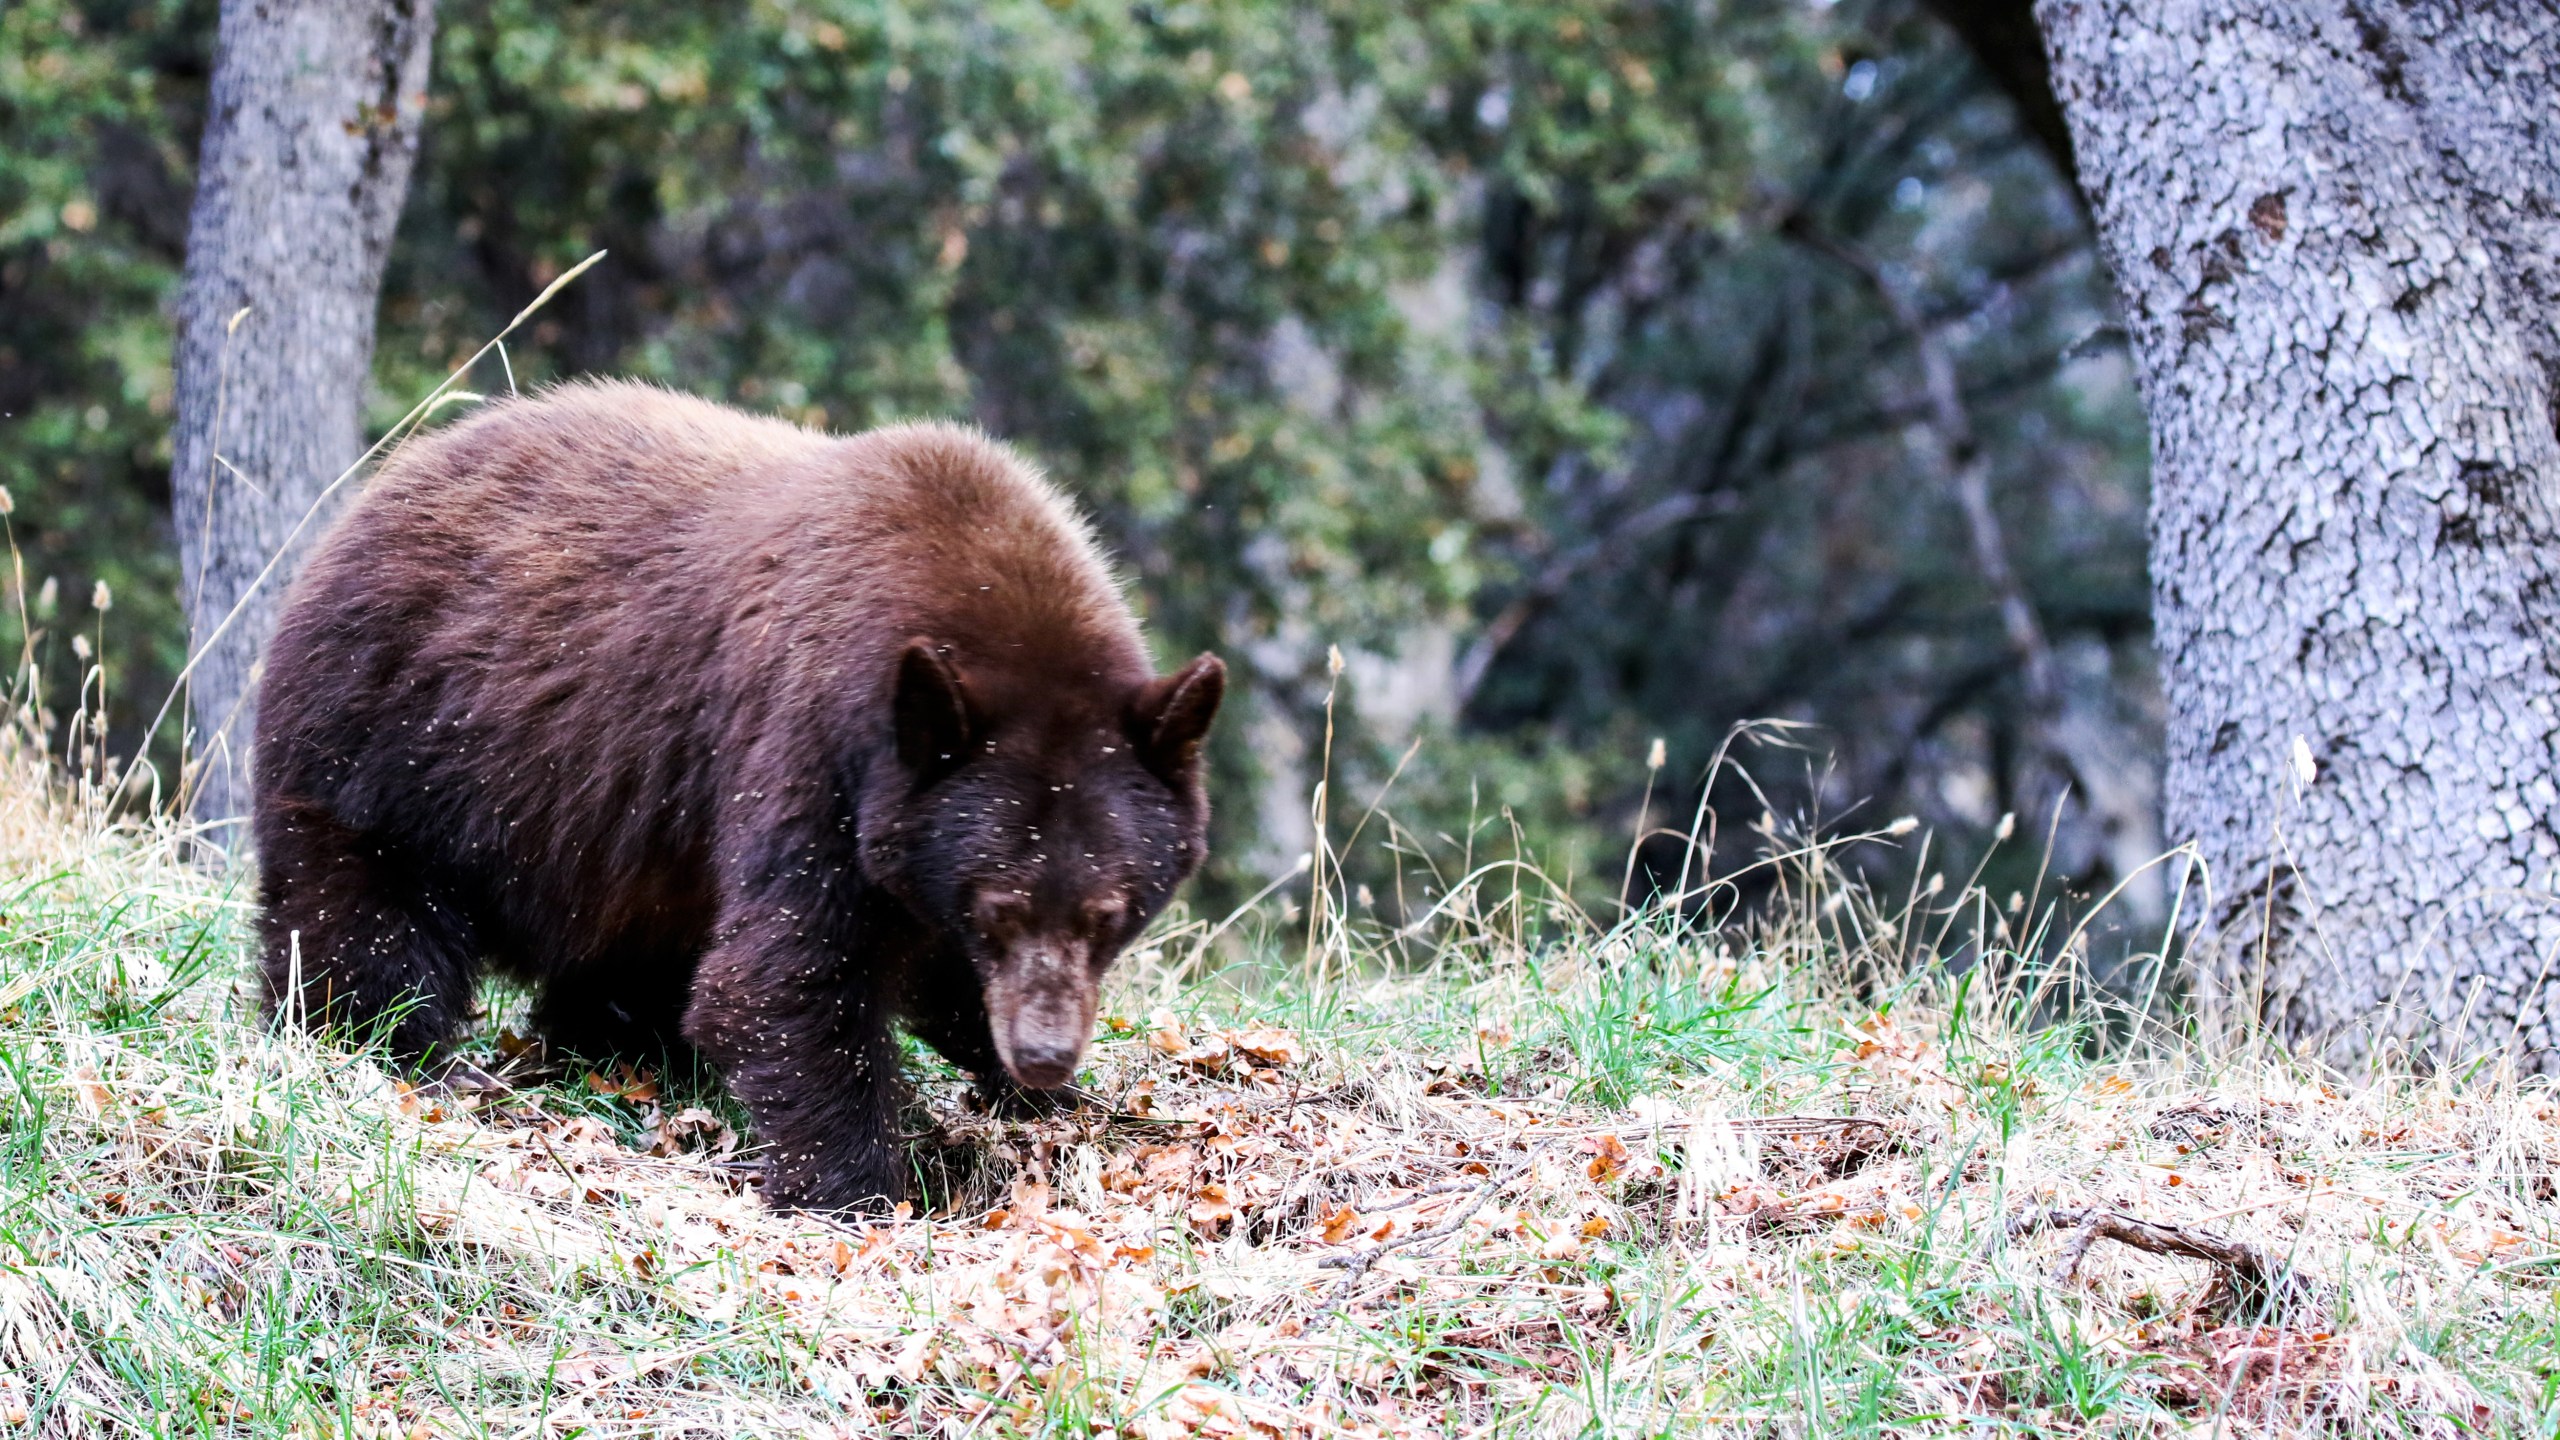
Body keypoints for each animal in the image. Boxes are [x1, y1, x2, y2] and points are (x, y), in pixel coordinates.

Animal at [254, 376, 1223, 1204]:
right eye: (998, 908)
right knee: (363, 922)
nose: (1044, 1054)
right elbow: (786, 973)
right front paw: (859, 1186)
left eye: (1109, 912)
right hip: (394, 750)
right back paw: (383, 1048)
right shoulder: (810, 748)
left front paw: (1044, 1102)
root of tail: (384, 479)